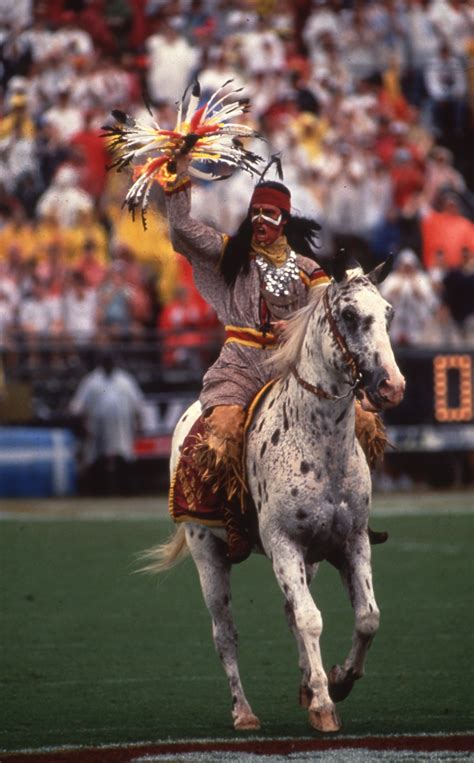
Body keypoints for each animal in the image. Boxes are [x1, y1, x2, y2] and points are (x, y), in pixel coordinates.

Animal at [143, 262, 406, 736]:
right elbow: (310, 618)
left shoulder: (350, 542)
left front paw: (337, 681)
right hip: (207, 553)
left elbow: (367, 617)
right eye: (350, 315)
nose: (391, 386)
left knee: (289, 613)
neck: (318, 446)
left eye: (388, 313)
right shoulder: (285, 544)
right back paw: (244, 712)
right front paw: (325, 703)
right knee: (225, 634)